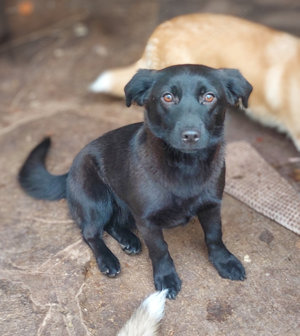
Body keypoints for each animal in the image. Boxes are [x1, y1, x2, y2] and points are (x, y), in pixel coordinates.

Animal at [18, 64, 252, 298]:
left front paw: (225, 262)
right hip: (97, 199)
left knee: (112, 224)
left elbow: (215, 236)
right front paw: (166, 278)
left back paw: (128, 240)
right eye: (167, 97)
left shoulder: (212, 206)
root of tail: (68, 172)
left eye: (209, 97)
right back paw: (108, 259)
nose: (190, 135)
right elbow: (160, 250)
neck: (186, 166)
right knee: (90, 232)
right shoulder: (147, 221)